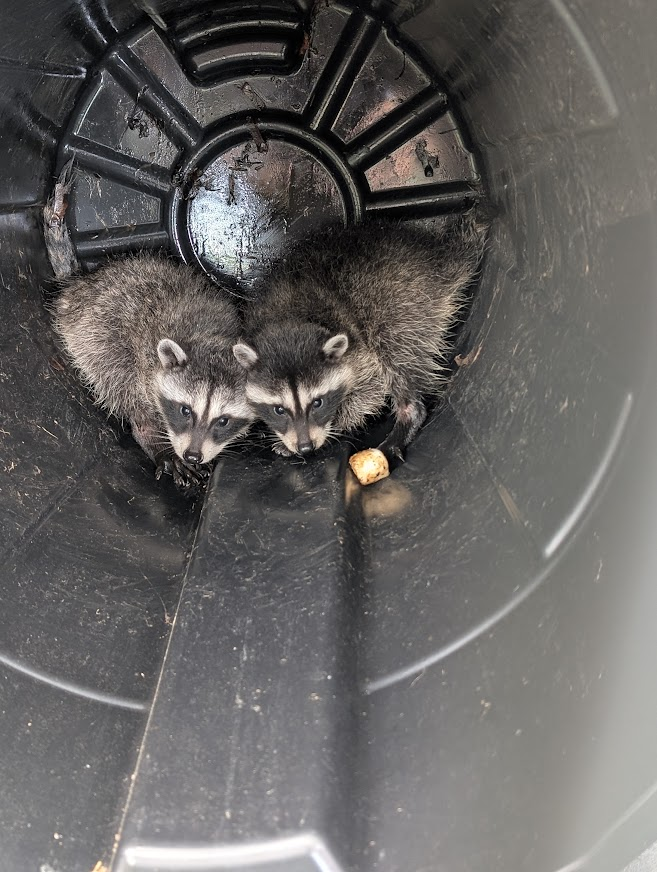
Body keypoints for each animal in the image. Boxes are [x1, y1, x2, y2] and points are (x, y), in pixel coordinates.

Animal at [52, 253, 255, 488]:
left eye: (223, 421)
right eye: (185, 410)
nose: (192, 456)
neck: (212, 340)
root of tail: (83, 281)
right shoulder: (144, 359)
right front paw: (154, 437)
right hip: (96, 331)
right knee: (117, 378)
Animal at [233, 213, 487, 462]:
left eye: (317, 402)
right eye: (279, 409)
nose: (306, 448)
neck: (289, 320)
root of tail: (436, 258)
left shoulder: (356, 344)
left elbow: (371, 387)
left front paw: (336, 423)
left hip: (401, 302)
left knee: (397, 352)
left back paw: (407, 412)